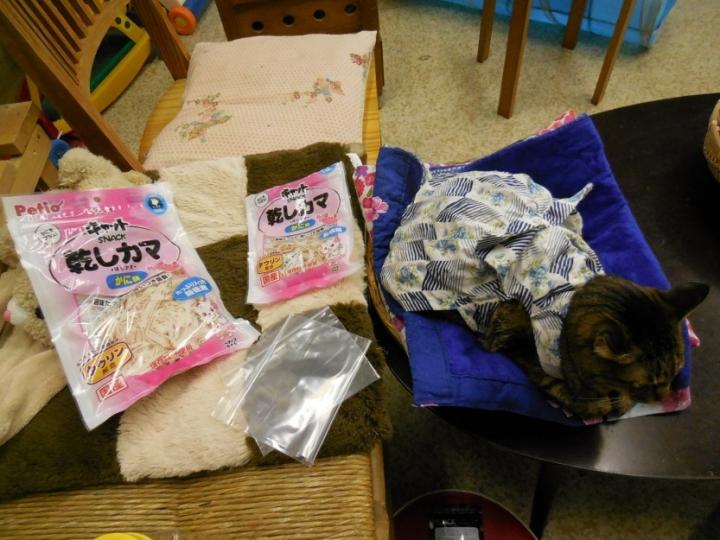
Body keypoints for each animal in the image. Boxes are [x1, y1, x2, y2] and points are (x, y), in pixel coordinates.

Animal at [478, 275, 709, 419]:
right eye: (644, 385)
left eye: (675, 374)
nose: (664, 397)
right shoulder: (532, 356)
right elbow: (563, 388)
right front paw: (599, 404)